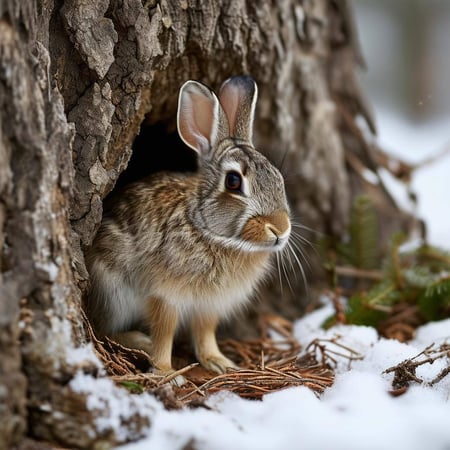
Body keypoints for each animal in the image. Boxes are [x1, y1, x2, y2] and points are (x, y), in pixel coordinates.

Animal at [85, 75, 292, 382]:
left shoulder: (210, 305)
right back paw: (139, 341)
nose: (280, 229)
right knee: (104, 330)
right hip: (111, 291)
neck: (208, 231)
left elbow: (205, 332)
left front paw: (220, 362)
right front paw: (165, 371)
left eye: (278, 178)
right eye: (233, 182)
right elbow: (164, 332)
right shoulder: (166, 294)